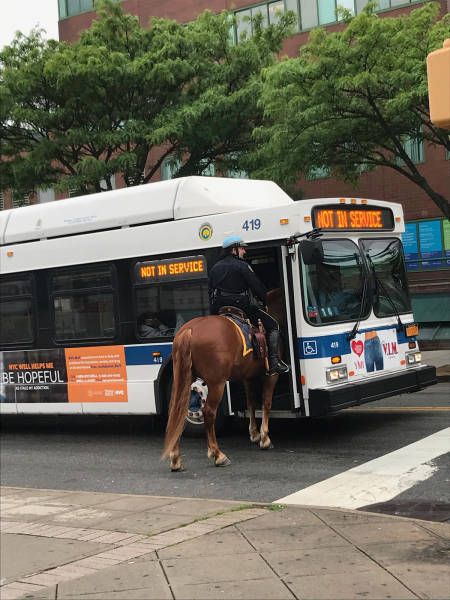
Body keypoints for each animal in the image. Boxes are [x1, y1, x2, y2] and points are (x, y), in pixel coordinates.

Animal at [162, 288, 284, 472]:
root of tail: (189, 330)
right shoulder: (270, 375)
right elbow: (266, 402)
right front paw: (264, 438)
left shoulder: (248, 376)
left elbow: (250, 402)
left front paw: (254, 434)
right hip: (216, 383)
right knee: (208, 412)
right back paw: (217, 455)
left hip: (184, 378)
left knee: (177, 410)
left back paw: (176, 459)